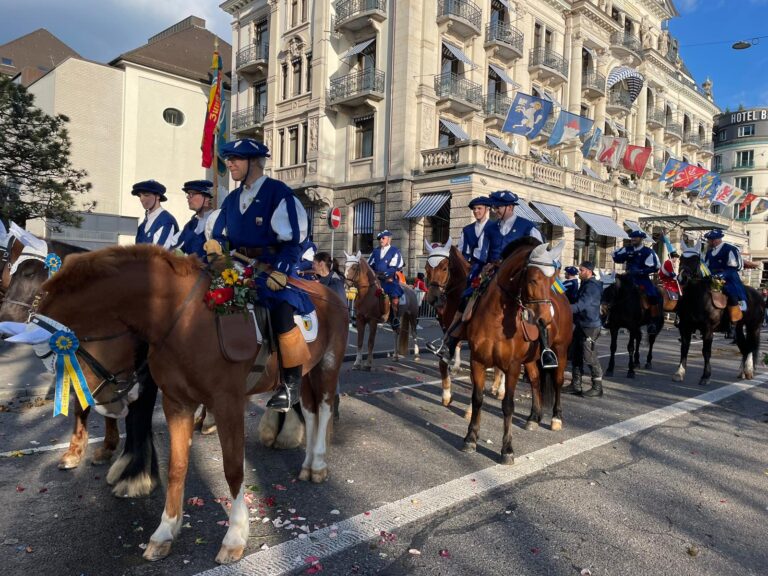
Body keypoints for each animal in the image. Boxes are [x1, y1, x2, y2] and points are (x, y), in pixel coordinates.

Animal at [23, 245, 348, 564]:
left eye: (63, 358)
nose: (109, 405)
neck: (184, 321)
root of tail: (330, 294)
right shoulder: (176, 404)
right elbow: (177, 467)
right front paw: (165, 531)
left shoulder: (228, 403)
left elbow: (233, 468)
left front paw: (235, 535)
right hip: (306, 371)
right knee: (310, 410)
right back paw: (307, 464)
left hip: (328, 365)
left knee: (324, 408)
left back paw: (319, 465)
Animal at [424, 241, 508, 412]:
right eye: (426, 268)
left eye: (444, 268)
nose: (433, 298)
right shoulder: (450, 331)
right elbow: (443, 361)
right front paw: (446, 395)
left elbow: (475, 377)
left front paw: (470, 409)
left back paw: (501, 389)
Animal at [460, 238, 572, 464]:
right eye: (534, 279)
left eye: (553, 280)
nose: (545, 320)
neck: (495, 320)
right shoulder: (477, 361)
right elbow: (477, 399)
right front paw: (471, 438)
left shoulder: (511, 366)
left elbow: (508, 405)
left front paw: (507, 449)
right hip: (530, 360)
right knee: (536, 381)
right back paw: (533, 417)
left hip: (561, 350)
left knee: (557, 381)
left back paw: (556, 418)